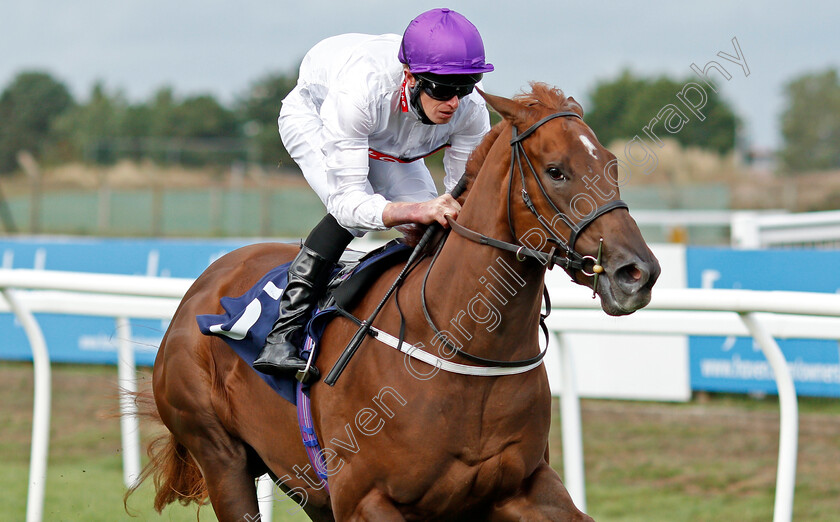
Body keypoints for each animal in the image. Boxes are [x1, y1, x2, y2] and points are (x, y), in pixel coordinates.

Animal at [131, 83, 656, 516]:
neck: (457, 342)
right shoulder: (364, 498)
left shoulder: (523, 488)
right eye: (555, 171)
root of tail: (205, 282)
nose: (638, 273)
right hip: (221, 457)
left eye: (611, 164)